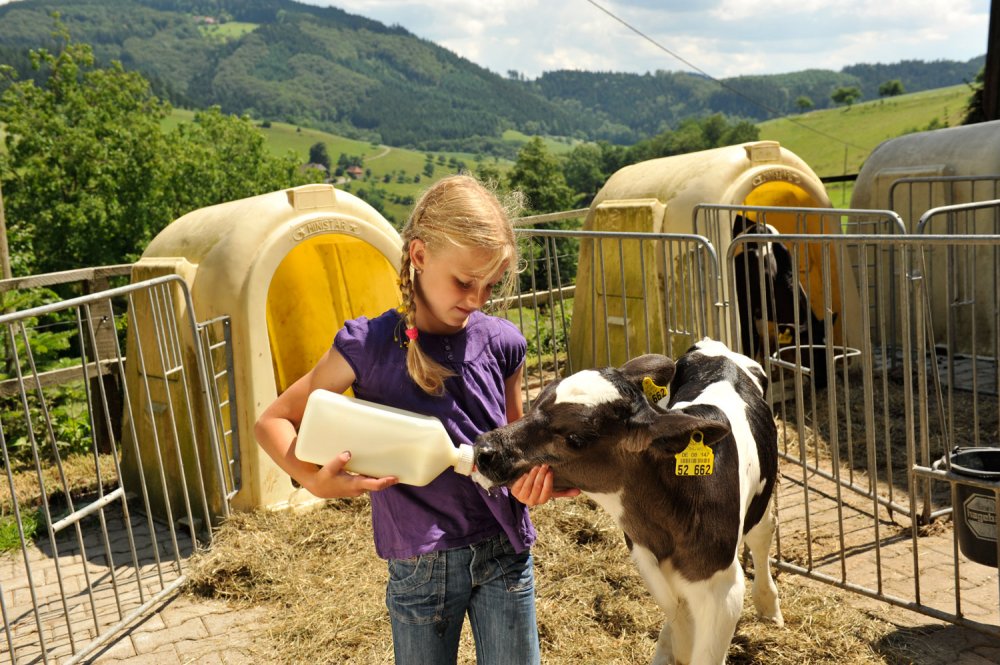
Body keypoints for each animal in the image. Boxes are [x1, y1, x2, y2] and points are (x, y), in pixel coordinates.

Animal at [474, 340, 780, 660]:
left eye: (575, 438)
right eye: (535, 403)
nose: (485, 450)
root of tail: (718, 349)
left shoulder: (722, 591)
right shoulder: (650, 568)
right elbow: (680, 634)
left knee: (762, 535)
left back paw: (768, 606)